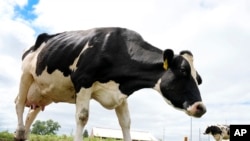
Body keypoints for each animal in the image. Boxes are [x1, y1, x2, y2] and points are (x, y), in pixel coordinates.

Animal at [15, 27, 207, 140]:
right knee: (19, 104)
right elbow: (82, 117)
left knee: (31, 114)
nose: (201, 107)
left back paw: (24, 135)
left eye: (199, 79)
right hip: (26, 75)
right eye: (183, 70)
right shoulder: (83, 81)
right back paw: (19, 132)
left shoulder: (120, 94)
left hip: (43, 93)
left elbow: (126, 123)